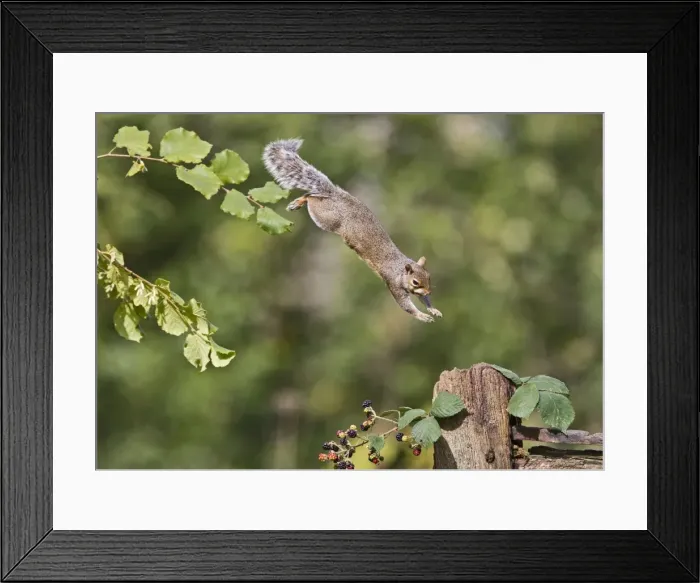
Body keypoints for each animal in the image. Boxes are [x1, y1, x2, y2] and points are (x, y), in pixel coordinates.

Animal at [262, 139, 442, 323]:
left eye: (428, 277)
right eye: (415, 282)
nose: (429, 291)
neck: (400, 270)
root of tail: (335, 194)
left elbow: (422, 300)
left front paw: (432, 309)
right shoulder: (393, 283)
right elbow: (405, 306)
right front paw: (422, 316)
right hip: (325, 218)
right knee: (311, 197)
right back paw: (300, 201)